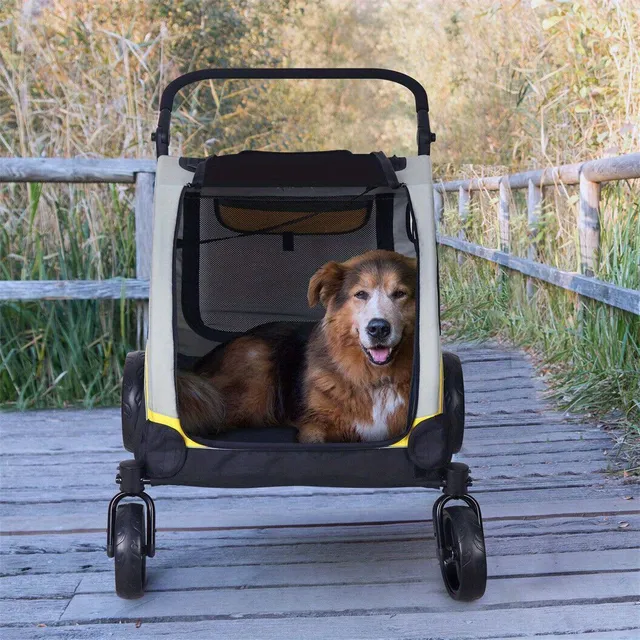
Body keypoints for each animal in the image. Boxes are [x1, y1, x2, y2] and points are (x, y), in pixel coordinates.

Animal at [178, 248, 418, 442]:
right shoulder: (314, 425)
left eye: (400, 294)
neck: (377, 380)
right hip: (253, 372)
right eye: (360, 294)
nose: (378, 328)